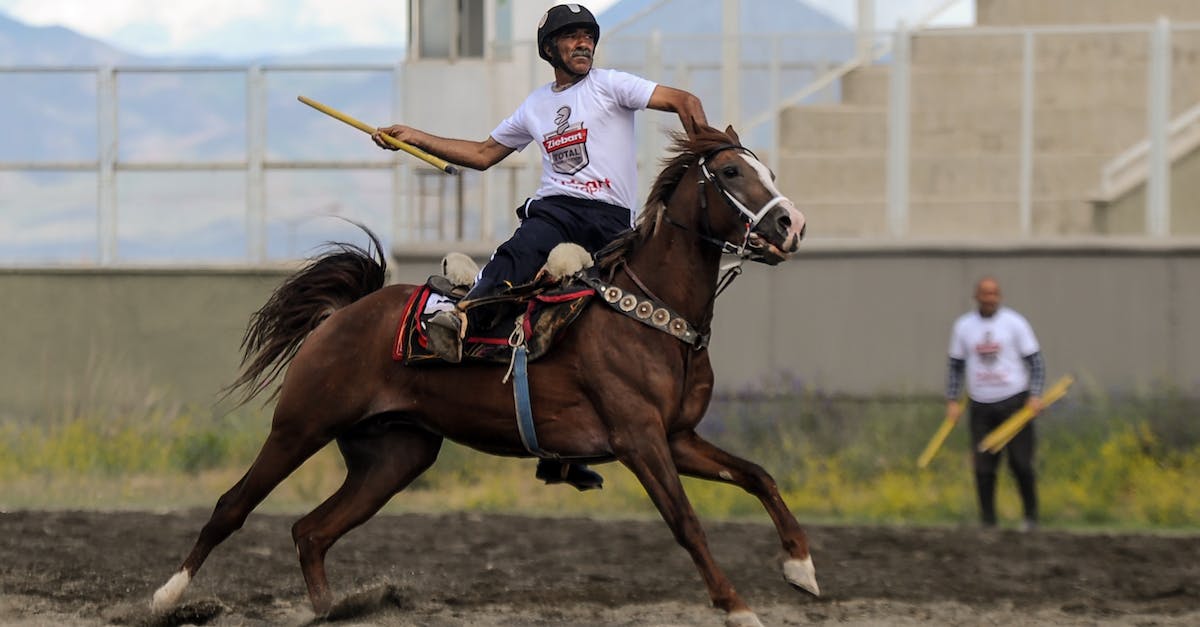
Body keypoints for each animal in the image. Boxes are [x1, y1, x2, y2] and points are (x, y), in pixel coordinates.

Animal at [152, 123, 816, 624]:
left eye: (766, 170)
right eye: (729, 173)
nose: (792, 225)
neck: (649, 313)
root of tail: (343, 315)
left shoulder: (677, 438)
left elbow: (758, 476)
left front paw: (802, 569)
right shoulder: (640, 440)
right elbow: (686, 522)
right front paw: (738, 607)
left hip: (395, 456)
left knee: (311, 532)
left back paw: (328, 609)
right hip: (301, 426)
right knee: (233, 506)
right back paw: (166, 597)